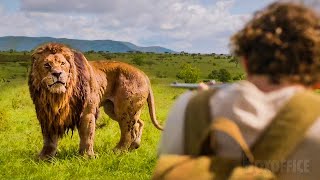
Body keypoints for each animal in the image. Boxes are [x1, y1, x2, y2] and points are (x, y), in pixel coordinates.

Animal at [28, 43, 162, 160]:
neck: (58, 96)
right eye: (47, 65)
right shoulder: (46, 113)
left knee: (128, 131)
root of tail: (144, 74)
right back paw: (133, 146)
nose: (57, 74)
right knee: (138, 123)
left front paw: (87, 157)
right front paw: (44, 157)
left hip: (125, 110)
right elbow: (49, 138)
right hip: (113, 109)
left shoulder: (86, 112)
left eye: (62, 63)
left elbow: (88, 135)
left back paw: (117, 151)